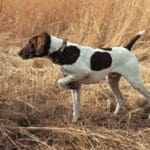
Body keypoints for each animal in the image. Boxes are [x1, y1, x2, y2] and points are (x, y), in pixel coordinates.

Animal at [19, 29, 150, 122]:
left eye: (30, 43)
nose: (18, 53)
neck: (62, 51)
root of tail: (127, 48)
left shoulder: (81, 73)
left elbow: (60, 81)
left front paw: (64, 85)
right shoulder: (76, 85)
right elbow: (75, 105)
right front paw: (75, 119)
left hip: (135, 82)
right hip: (112, 81)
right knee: (120, 98)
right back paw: (115, 114)